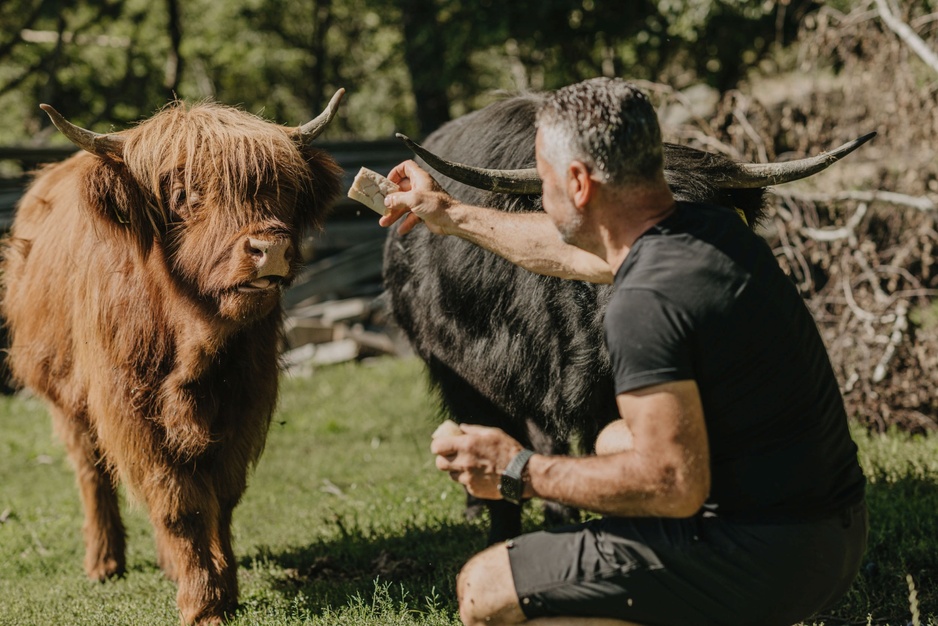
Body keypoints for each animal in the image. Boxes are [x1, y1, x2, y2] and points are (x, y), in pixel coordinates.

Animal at [0, 91, 345, 624]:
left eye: (282, 189)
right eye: (184, 194)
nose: (270, 249)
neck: (191, 340)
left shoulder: (245, 399)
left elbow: (221, 497)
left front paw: (225, 587)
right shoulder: (130, 410)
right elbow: (177, 503)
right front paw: (203, 603)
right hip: (64, 398)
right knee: (91, 473)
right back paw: (104, 562)